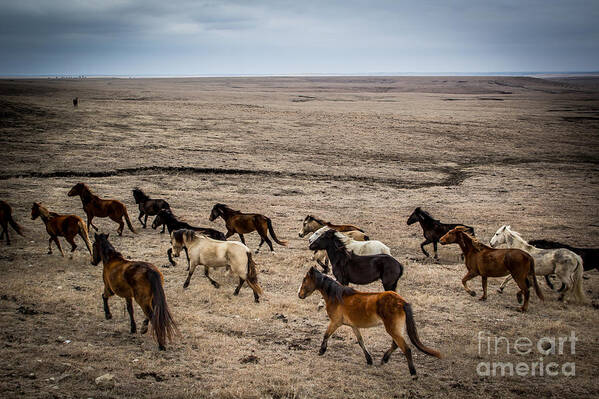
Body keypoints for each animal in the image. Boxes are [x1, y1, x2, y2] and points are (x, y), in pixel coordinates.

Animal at [298, 268, 440, 380]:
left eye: (305, 280)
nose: (299, 295)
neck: (336, 296)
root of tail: (401, 301)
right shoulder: (353, 326)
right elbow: (361, 341)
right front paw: (369, 359)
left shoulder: (335, 322)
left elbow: (326, 335)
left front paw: (321, 351)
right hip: (396, 329)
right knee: (395, 344)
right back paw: (384, 359)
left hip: (392, 329)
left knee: (406, 348)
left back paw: (413, 374)